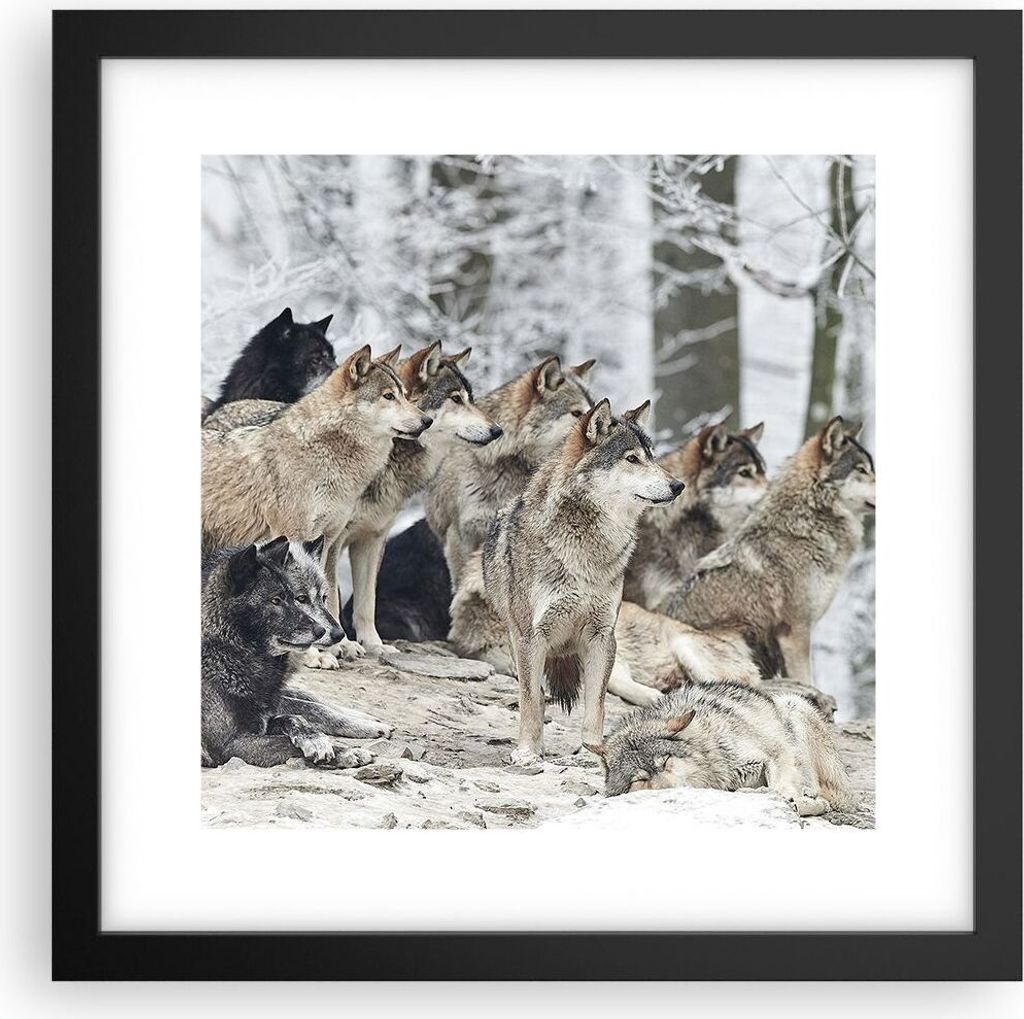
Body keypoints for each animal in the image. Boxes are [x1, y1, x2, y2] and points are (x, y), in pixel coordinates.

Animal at [201, 344, 431, 660]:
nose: (427, 421)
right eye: (388, 396)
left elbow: (325, 594)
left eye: (406, 395)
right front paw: (313, 655)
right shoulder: (294, 537)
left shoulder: (328, 540)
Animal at [201, 538, 378, 769]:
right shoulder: (230, 745)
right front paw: (347, 751)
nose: (331, 632)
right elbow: (288, 738)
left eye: (324, 598)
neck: (227, 651)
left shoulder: (268, 708)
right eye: (277, 600)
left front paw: (319, 737)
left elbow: (299, 713)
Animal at [482, 399, 684, 765]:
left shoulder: (602, 637)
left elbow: (596, 706)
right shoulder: (530, 638)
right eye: (632, 459)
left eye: (652, 457)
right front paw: (528, 752)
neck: (586, 550)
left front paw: (592, 751)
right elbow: (531, 701)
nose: (678, 485)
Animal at [591, 681, 854, 815]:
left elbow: (781, 783)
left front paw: (793, 796)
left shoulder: (776, 752)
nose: (670, 791)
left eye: (665, 762)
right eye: (639, 780)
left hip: (792, 704)